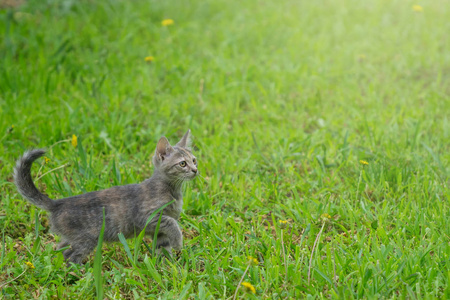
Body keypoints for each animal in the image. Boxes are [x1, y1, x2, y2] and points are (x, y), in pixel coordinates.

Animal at [13, 130, 197, 264]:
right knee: (70, 256)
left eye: (194, 160)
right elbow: (172, 223)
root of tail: (57, 203)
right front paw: (178, 242)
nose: (196, 170)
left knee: (60, 247)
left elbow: (163, 247)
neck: (172, 190)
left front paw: (168, 266)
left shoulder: (158, 231)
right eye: (182, 164)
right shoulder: (147, 217)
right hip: (87, 238)